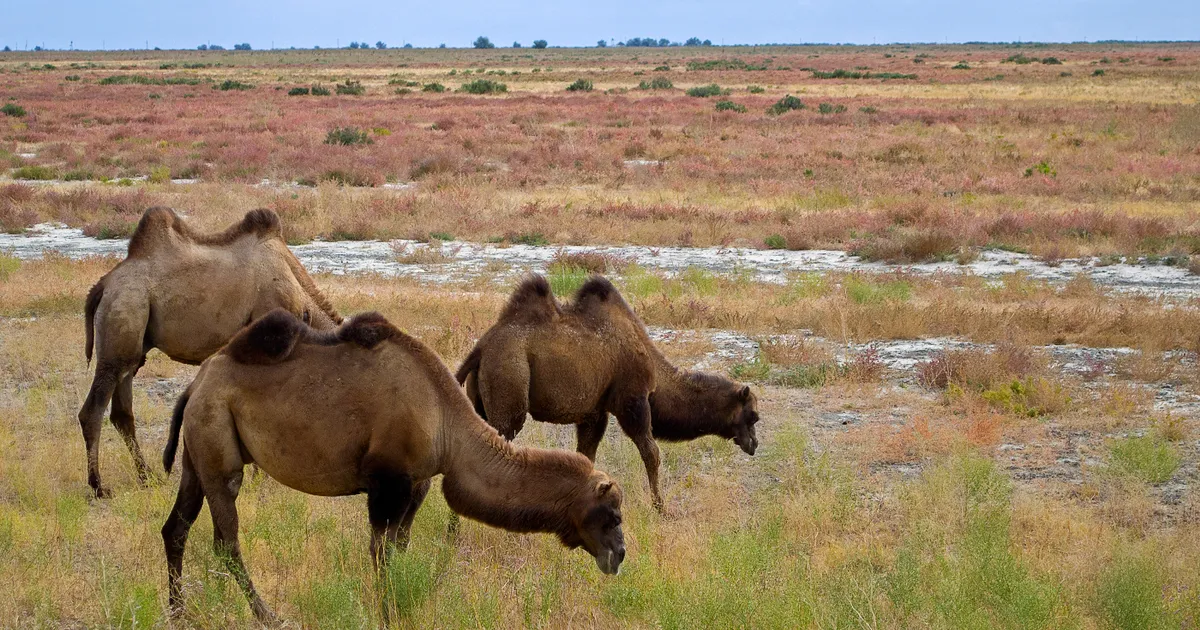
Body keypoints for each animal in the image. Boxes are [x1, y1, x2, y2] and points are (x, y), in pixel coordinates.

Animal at [78, 206, 343, 496]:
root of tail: (103, 286)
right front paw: (259, 480)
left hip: (133, 345)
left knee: (122, 413)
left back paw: (147, 477)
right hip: (124, 316)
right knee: (93, 410)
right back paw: (98, 486)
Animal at [162, 307, 628, 619]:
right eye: (611, 514)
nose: (620, 555)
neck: (445, 420)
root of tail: (196, 385)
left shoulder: (417, 482)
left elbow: (401, 546)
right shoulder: (388, 482)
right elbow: (381, 551)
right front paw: (387, 612)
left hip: (198, 449)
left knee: (177, 529)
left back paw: (180, 612)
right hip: (218, 444)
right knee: (226, 540)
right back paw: (267, 615)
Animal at [458, 274, 758, 511]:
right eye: (753, 415)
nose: (753, 444)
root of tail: (481, 348)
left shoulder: (594, 412)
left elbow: (585, 457)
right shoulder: (632, 399)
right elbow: (651, 452)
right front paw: (660, 508)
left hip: (481, 396)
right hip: (510, 380)